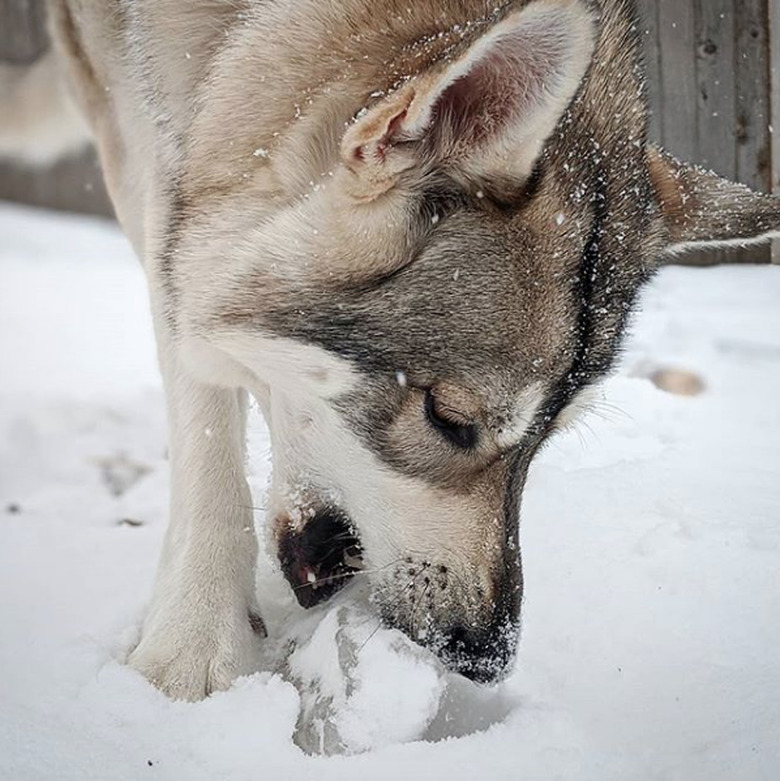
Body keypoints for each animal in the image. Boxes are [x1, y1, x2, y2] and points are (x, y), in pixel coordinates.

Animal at [7, 0, 780, 700]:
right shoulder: (151, 157)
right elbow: (204, 418)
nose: (486, 657)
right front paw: (197, 643)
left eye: (545, 439)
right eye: (448, 416)